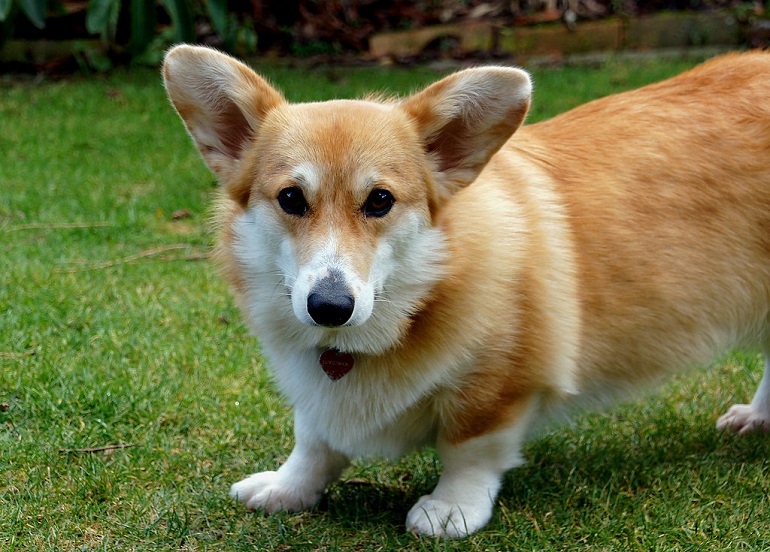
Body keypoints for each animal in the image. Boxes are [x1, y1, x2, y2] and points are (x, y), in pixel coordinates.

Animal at [165, 45, 768, 536]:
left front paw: (450, 508)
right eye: (291, 198)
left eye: (380, 200)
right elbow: (313, 440)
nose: (330, 308)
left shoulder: (499, 387)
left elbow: (469, 451)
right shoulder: (318, 398)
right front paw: (287, 488)